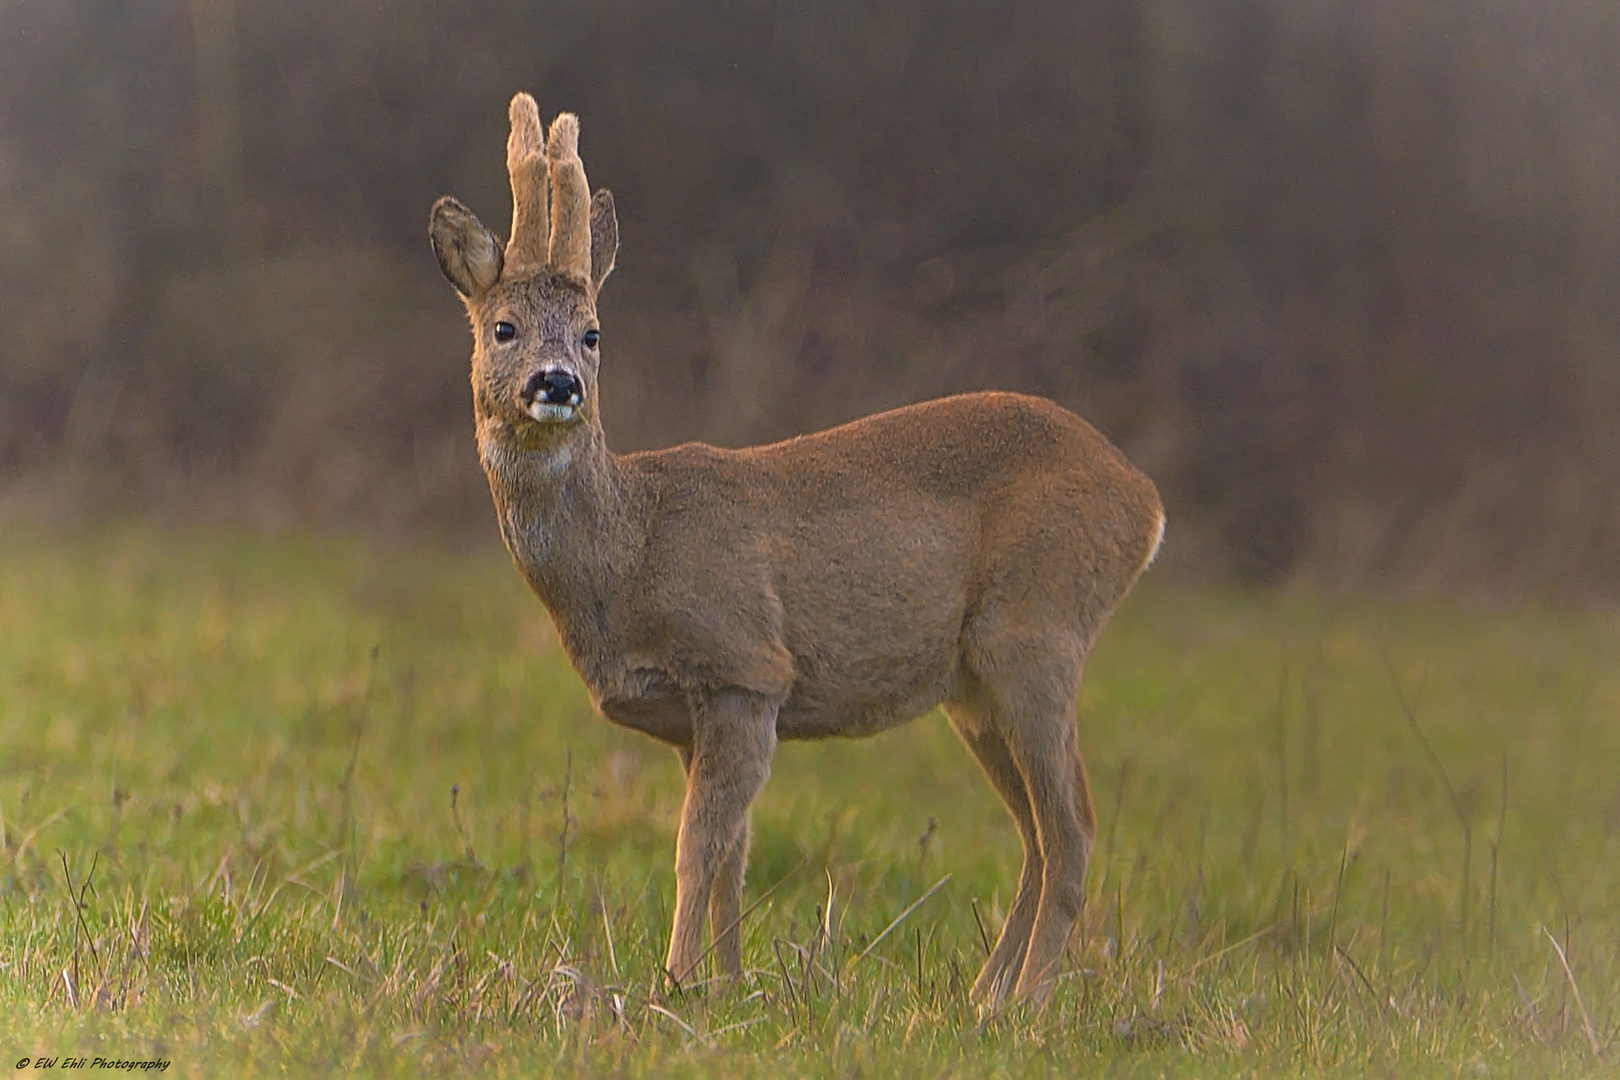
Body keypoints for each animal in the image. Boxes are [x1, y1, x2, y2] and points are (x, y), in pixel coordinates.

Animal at [430, 97, 1166, 1010]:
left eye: (595, 334)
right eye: (503, 328)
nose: (556, 382)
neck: (631, 552)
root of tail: (1145, 501)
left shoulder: (744, 669)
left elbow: (696, 852)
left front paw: (675, 983)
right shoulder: (696, 717)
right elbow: (734, 860)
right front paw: (729, 984)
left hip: (1037, 633)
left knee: (1072, 827)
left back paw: (1023, 1006)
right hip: (973, 686)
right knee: (1035, 830)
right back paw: (984, 996)